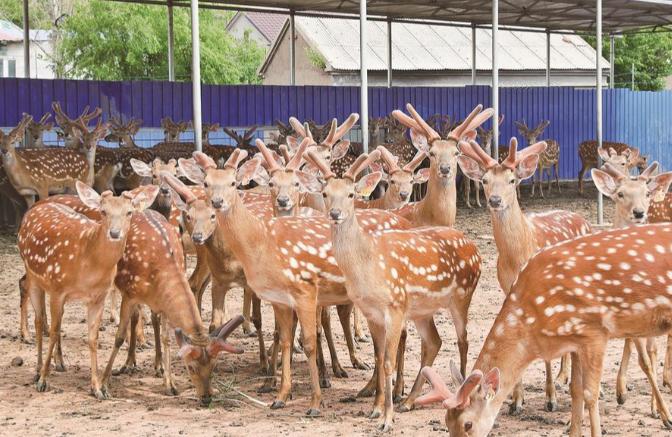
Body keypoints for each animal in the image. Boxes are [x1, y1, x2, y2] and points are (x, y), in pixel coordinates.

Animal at [17, 182, 157, 399]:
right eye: (103, 211)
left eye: (129, 212)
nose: (114, 233)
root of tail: (32, 209)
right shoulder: (57, 289)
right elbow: (54, 332)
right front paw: (43, 381)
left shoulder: (98, 296)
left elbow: (93, 338)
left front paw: (97, 388)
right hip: (34, 275)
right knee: (39, 320)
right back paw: (38, 370)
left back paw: (60, 363)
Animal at [164, 146, 413, 417]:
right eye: (206, 183)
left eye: (233, 182)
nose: (217, 202)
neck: (261, 240)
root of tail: (405, 221)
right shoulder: (279, 297)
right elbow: (284, 339)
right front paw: (280, 396)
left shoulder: (305, 290)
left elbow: (309, 343)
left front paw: (315, 402)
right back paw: (383, 392)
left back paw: (389, 395)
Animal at [306, 149, 481, 431]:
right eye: (324, 193)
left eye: (351, 194)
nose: (334, 213)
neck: (367, 266)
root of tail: (475, 248)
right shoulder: (371, 312)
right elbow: (378, 357)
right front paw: (376, 409)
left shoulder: (395, 307)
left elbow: (387, 362)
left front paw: (386, 419)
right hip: (422, 310)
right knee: (435, 341)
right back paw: (408, 401)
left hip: (462, 296)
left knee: (463, 340)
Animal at [415, 222, 672, 437]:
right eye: (446, 422)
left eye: (467, 424)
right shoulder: (575, 338)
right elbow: (575, 390)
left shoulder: (594, 331)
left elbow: (591, 394)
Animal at [458, 137, 592, 414]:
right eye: (484, 180)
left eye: (512, 180)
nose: (495, 200)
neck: (518, 256)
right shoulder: (507, 288)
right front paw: (516, 401)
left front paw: (550, 399)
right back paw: (563, 376)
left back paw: (562, 380)